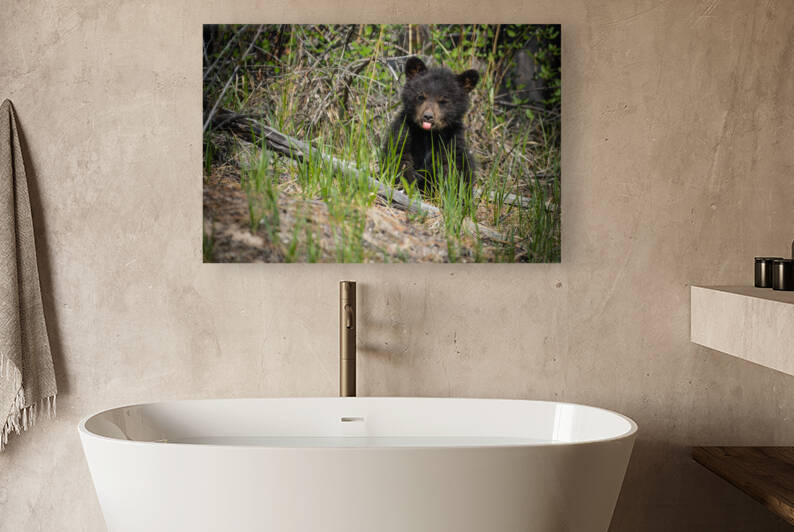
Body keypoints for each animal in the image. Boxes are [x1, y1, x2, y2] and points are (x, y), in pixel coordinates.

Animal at [381, 57, 480, 194]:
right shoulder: (406, 134)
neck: (429, 135)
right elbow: (401, 159)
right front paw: (408, 187)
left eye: (443, 100)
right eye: (421, 96)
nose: (428, 116)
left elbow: (453, 168)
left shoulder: (450, 142)